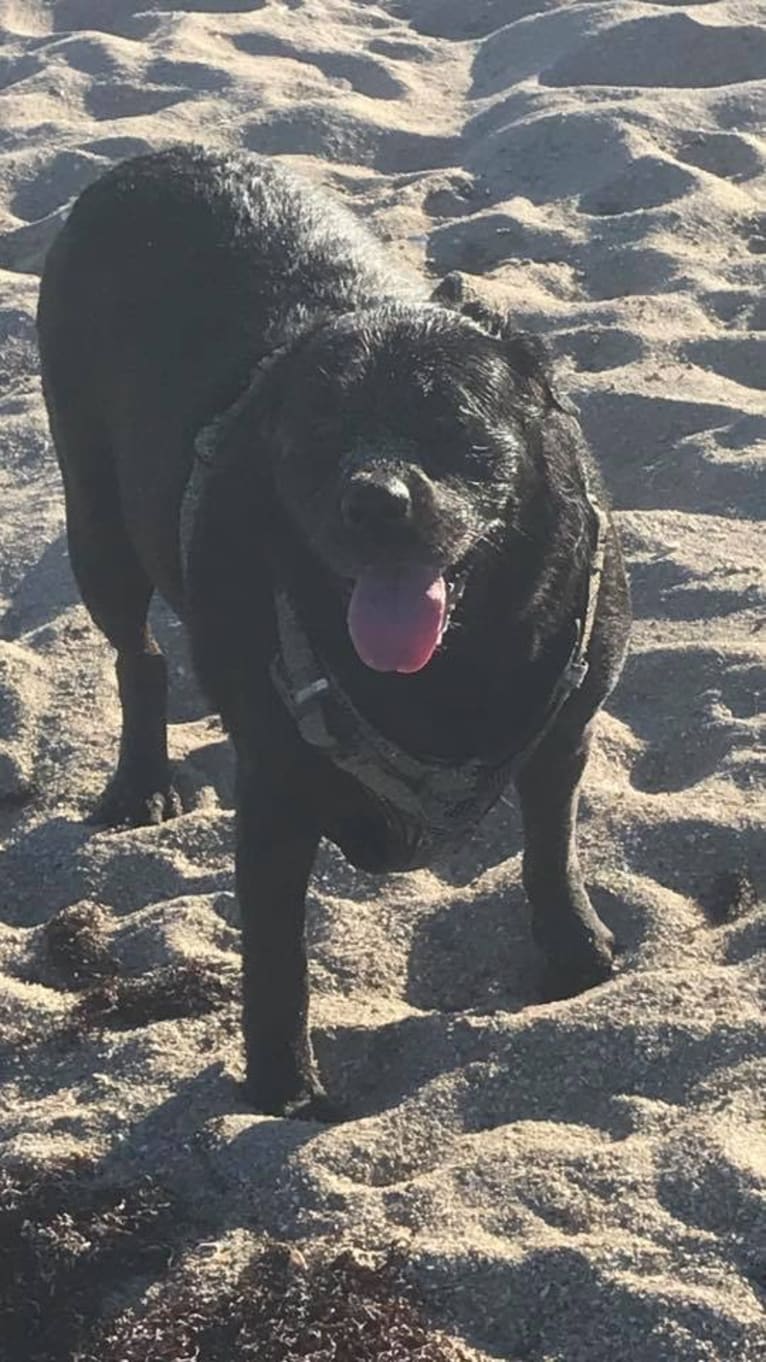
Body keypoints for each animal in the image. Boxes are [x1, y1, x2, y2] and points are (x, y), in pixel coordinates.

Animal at [37, 146, 626, 1116]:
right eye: (315, 431)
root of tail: (148, 159)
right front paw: (283, 1086)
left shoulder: (563, 736)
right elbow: (277, 959)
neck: (449, 668)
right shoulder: (275, 795)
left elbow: (550, 851)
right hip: (98, 527)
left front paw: (576, 953)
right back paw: (142, 785)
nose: (374, 499)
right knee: (139, 656)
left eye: (453, 419)